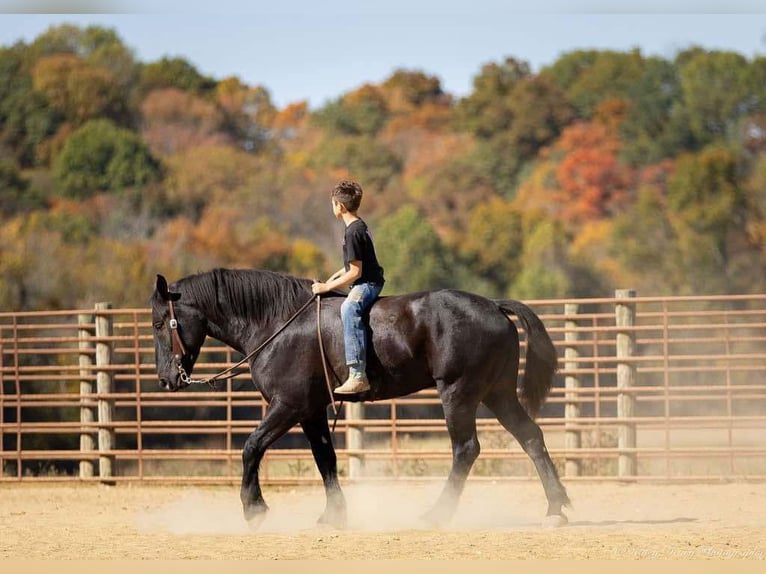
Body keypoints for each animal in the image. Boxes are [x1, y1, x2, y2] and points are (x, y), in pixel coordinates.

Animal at [150, 270, 568, 532]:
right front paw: (334, 515)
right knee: (532, 438)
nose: (167, 379)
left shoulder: (288, 406)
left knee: (466, 449)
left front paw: (254, 508)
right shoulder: (311, 411)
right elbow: (326, 460)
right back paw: (556, 508)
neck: (275, 324)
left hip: (459, 393)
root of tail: (494, 305)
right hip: (498, 394)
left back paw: (437, 514)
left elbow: (252, 447)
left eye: (157, 323)